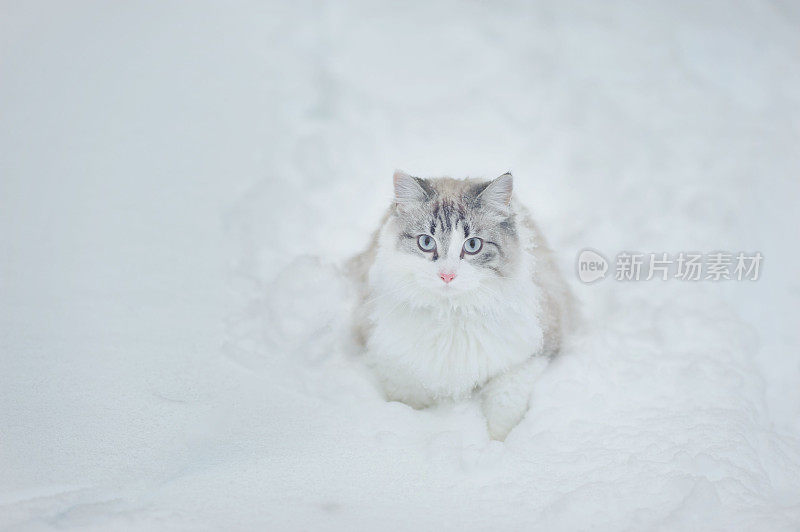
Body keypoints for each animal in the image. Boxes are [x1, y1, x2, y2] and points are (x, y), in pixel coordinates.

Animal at [346, 171, 572, 440]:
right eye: (426, 242)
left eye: (473, 245)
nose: (447, 276)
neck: (451, 313)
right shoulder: (395, 362)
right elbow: (406, 403)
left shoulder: (532, 354)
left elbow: (504, 405)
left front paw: (497, 443)